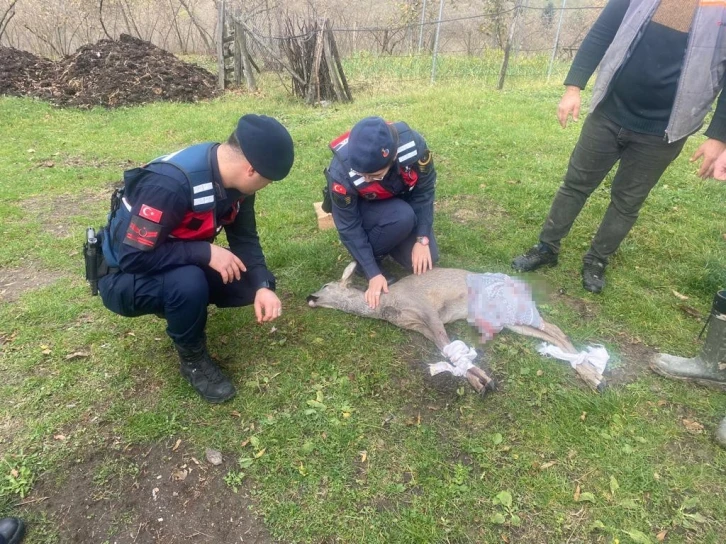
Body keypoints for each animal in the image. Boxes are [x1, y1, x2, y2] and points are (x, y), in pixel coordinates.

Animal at [308, 262, 608, 394]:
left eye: (325, 285)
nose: (309, 296)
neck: (388, 304)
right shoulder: (420, 326)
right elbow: (445, 349)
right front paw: (479, 381)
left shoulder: (428, 310)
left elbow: (448, 346)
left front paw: (483, 380)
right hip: (510, 320)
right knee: (551, 332)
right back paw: (590, 374)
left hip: (510, 309)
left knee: (555, 328)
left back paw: (592, 374)